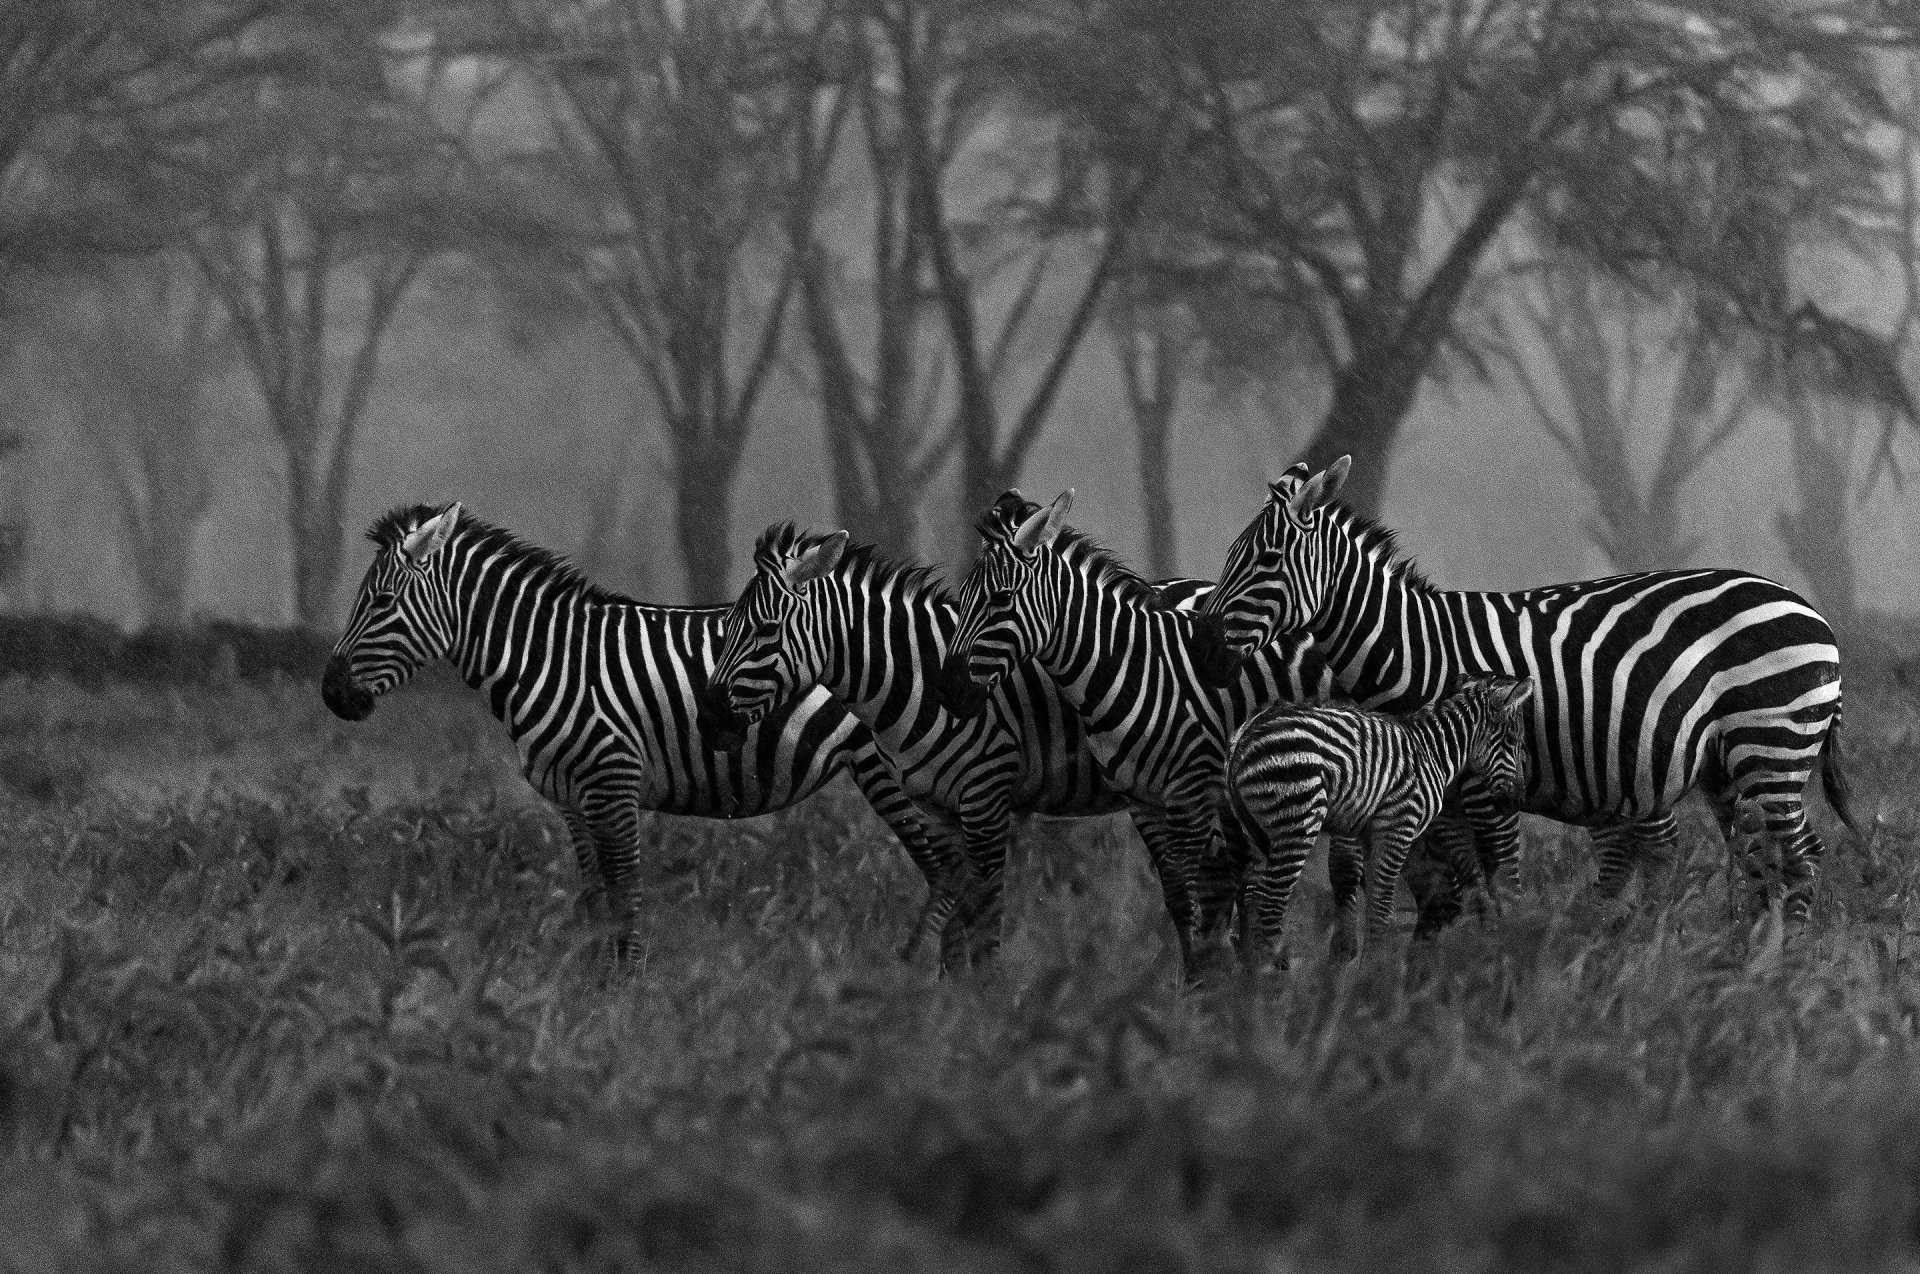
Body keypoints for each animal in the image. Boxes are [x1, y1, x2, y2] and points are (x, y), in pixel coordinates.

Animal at [320, 502, 975, 963]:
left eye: (380, 601)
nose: (331, 694)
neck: (549, 660)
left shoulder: (613, 782)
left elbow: (626, 892)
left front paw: (625, 987)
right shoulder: (571, 797)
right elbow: (594, 897)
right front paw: (589, 983)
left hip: (899, 771)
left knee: (947, 867)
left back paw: (918, 972)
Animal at [704, 518, 1334, 964]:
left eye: (762, 630)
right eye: (728, 625)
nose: (709, 713)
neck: (912, 674)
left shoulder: (986, 797)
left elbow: (985, 923)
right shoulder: (939, 810)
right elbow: (956, 928)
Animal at [1193, 457, 1856, 924]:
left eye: (1265, 560)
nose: (1202, 651)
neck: (1417, 649)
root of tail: (1809, 611)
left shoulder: (1489, 787)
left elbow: (1501, 886)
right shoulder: (1439, 798)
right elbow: (1456, 890)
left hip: (1771, 746)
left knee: (1800, 857)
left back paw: (1777, 970)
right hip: (1726, 768)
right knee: (1759, 861)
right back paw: (1740, 961)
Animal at [1225, 675, 1533, 965]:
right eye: (1513, 742)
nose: (1517, 801)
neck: (1433, 751)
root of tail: (1248, 731)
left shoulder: (1370, 834)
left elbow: (1376, 905)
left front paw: (1372, 969)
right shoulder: (1399, 825)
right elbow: (1383, 905)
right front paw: (1372, 970)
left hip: (1255, 831)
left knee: (1251, 898)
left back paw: (1251, 977)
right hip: (1297, 820)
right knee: (1270, 905)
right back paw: (1274, 978)